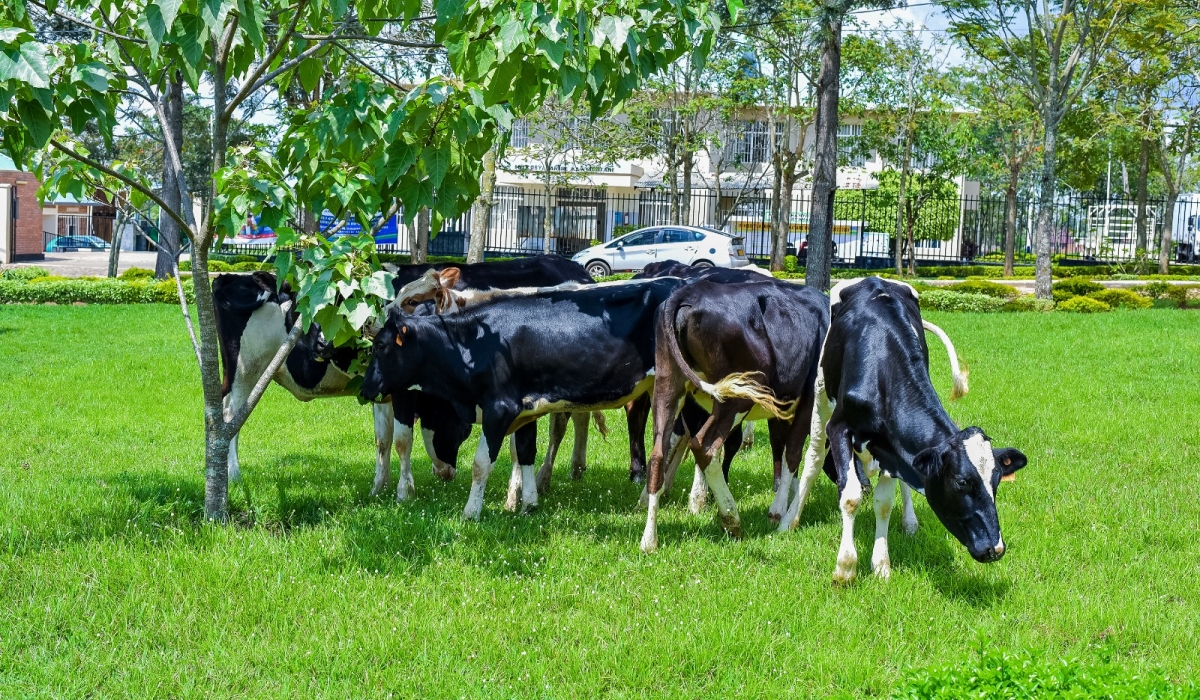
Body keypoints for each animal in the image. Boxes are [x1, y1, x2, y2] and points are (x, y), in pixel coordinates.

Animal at [360, 279, 710, 521]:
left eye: (381, 347)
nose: (363, 391)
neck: (475, 342)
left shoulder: (499, 409)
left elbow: (481, 464)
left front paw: (471, 512)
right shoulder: (525, 410)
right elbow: (526, 452)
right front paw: (528, 503)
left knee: (699, 438)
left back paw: (696, 500)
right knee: (679, 437)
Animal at [643, 278, 830, 552]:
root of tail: (688, 293)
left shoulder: (782, 409)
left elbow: (780, 449)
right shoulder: (809, 402)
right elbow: (794, 454)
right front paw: (781, 513)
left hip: (668, 384)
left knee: (658, 453)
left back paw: (649, 540)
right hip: (736, 397)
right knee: (705, 446)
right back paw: (731, 518)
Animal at [777, 276, 1032, 583]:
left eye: (996, 481)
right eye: (962, 482)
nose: (995, 548)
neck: (883, 368)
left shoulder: (890, 447)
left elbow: (884, 502)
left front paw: (881, 566)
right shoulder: (840, 426)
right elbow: (849, 497)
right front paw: (846, 568)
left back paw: (909, 522)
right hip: (822, 393)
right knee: (813, 458)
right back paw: (789, 520)